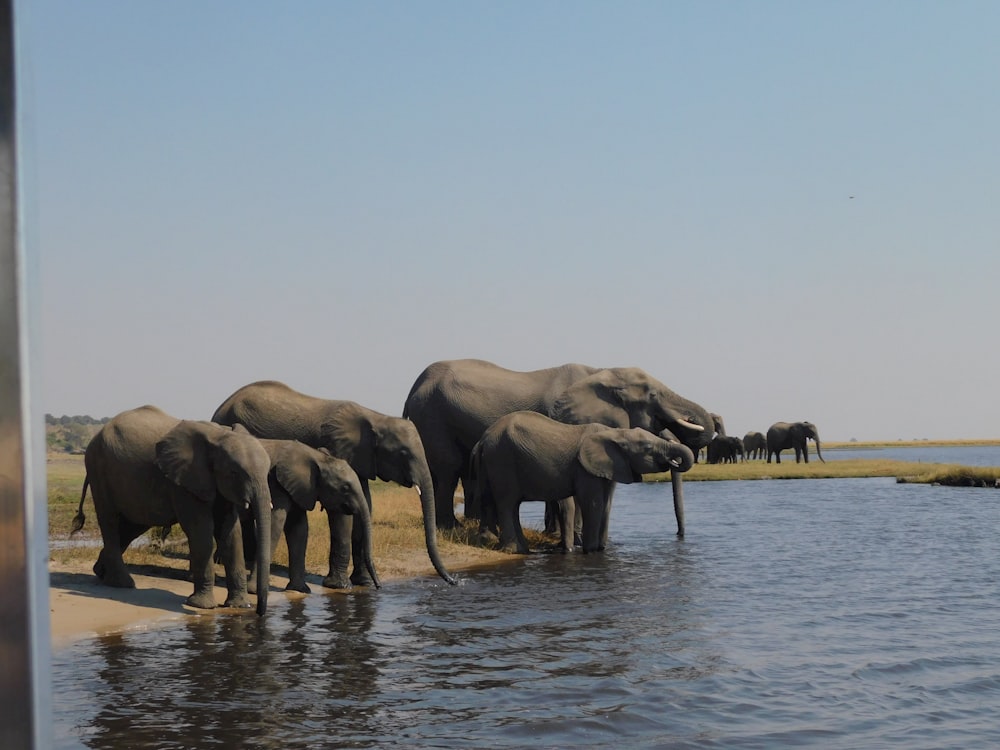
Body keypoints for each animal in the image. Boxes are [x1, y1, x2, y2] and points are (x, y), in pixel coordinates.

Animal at [72, 408, 272, 612]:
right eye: (234, 473)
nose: (259, 612)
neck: (219, 435)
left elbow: (230, 531)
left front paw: (240, 606)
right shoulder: (182, 482)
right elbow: (200, 529)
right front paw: (202, 606)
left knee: (132, 526)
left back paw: (101, 572)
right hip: (99, 471)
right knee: (110, 520)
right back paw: (122, 583)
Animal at [244, 440, 380, 592]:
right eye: (345, 488)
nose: (378, 586)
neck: (317, 458)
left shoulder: (298, 488)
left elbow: (299, 528)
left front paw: (300, 590)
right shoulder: (275, 483)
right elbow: (275, 523)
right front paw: (254, 591)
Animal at [402, 356, 716, 536]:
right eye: (652, 395)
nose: (680, 535)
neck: (601, 371)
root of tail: (412, 389)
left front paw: (553, 534)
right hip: (432, 416)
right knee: (448, 470)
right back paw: (449, 527)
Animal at [470, 414, 696, 556]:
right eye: (648, 448)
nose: (679, 536)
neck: (615, 432)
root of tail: (482, 439)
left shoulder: (611, 466)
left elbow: (607, 504)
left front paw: (601, 549)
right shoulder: (585, 469)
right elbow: (593, 503)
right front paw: (591, 550)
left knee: (501, 502)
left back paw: (519, 549)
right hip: (502, 459)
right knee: (508, 503)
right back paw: (515, 551)